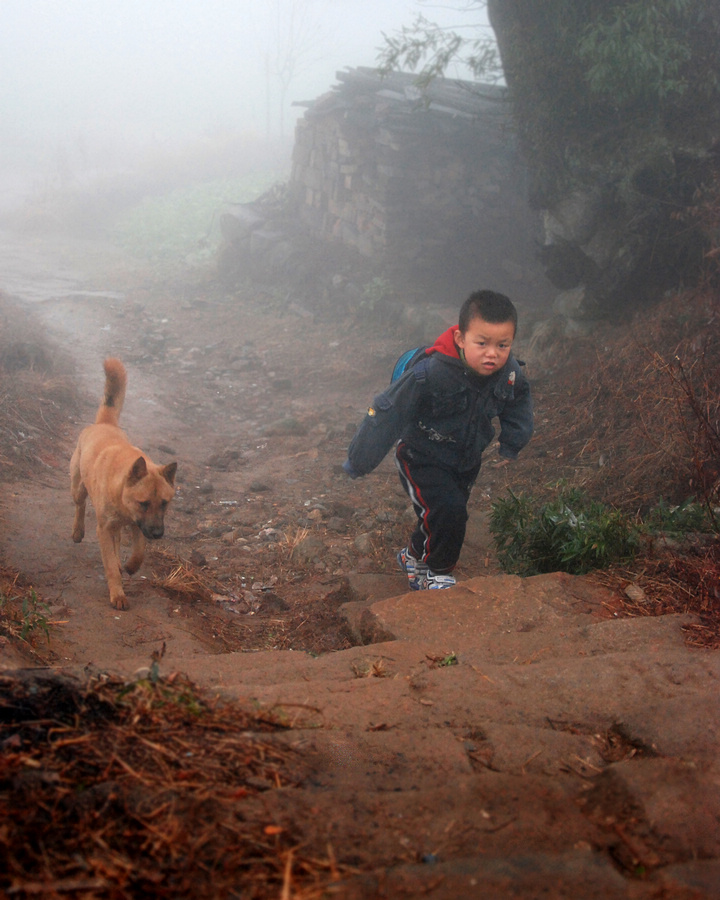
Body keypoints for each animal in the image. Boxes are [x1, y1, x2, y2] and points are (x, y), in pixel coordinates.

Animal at [70, 356, 177, 608]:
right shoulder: (105, 528)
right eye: (144, 503)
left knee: (118, 540)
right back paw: (78, 531)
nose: (158, 534)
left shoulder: (137, 525)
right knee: (80, 505)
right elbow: (109, 564)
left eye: (164, 503)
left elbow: (139, 551)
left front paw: (131, 566)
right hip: (78, 487)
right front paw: (117, 594)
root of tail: (105, 424)